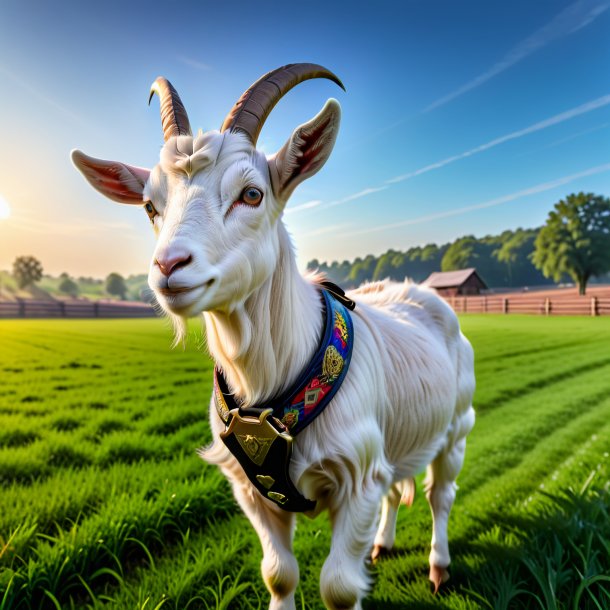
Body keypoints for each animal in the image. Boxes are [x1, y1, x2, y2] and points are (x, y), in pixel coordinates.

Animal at [72, 64, 476, 604]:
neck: (270, 384)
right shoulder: (251, 488)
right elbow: (278, 573)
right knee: (397, 485)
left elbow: (339, 587)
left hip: (457, 427)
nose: (169, 266)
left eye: (252, 194)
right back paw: (383, 545)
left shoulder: (356, 480)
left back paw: (438, 567)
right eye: (150, 207)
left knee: (440, 495)